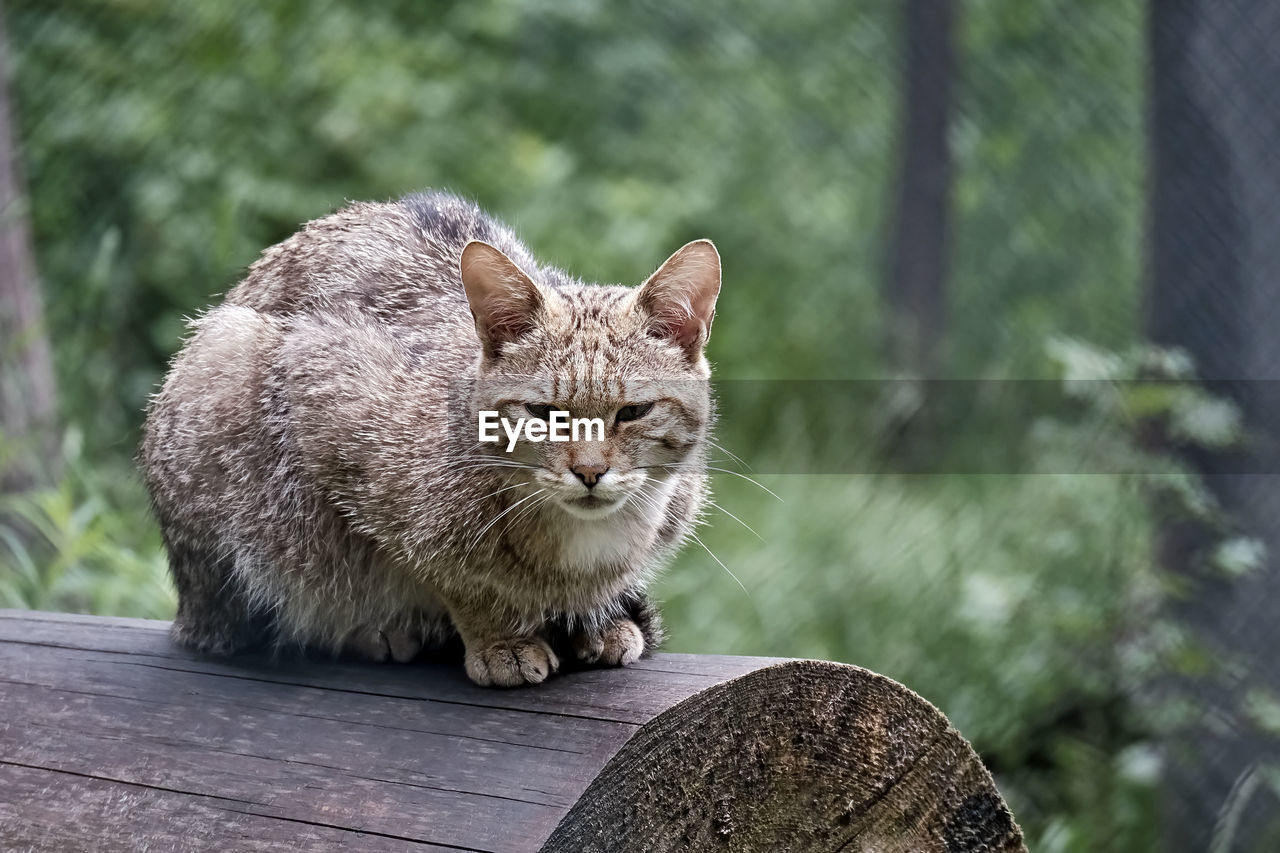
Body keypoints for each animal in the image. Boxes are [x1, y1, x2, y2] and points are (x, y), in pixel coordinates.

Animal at [142, 192, 721, 686]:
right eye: (542, 413)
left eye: (633, 412)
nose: (590, 472)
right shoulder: (324, 395)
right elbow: (443, 569)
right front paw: (498, 637)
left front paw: (594, 621)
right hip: (226, 367)